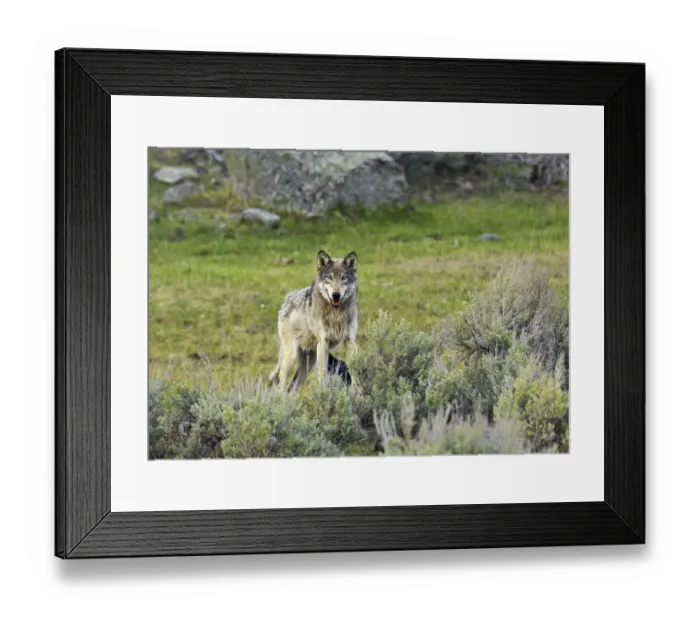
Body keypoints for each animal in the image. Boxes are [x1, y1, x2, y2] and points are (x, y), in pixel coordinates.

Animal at [269, 250, 358, 392]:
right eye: (329, 278)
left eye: (344, 278)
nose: (336, 295)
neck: (336, 314)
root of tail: (287, 299)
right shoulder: (323, 343)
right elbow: (323, 375)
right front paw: (324, 394)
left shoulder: (350, 342)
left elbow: (355, 372)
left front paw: (357, 393)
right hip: (291, 357)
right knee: (281, 384)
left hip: (307, 363)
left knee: (292, 388)